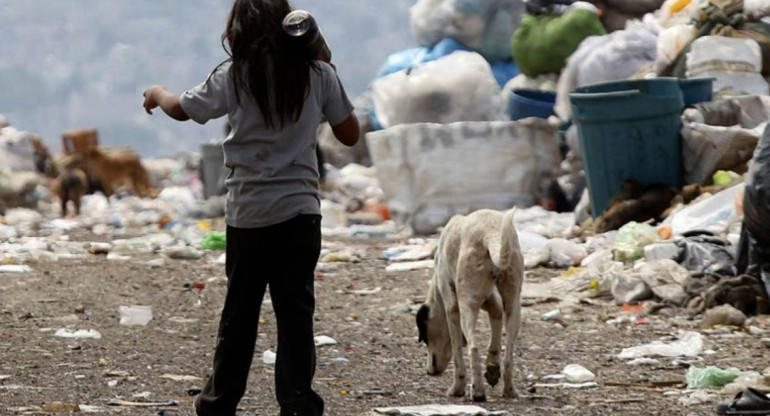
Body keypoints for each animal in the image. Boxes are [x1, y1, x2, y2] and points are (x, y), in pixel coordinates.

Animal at [416, 210, 524, 402]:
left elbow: (457, 352)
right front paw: (492, 368)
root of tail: (490, 233)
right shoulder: (492, 302)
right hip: (513, 304)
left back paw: (478, 391)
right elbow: (495, 333)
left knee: (473, 348)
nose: (429, 372)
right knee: (508, 357)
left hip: (467, 306)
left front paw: (457, 388)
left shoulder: (452, 309)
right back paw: (509, 390)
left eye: (425, 337)